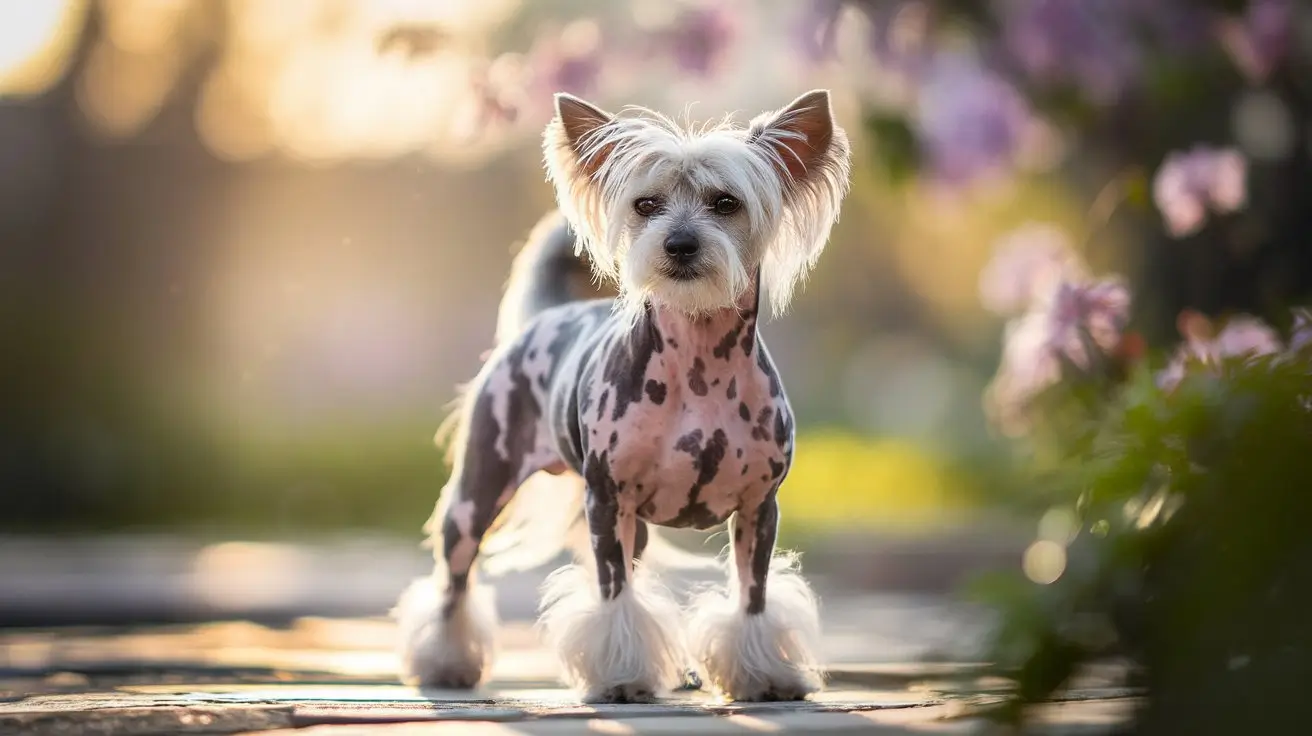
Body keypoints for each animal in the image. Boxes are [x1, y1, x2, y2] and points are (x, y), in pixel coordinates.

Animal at [388, 89, 855, 703]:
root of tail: (548, 314)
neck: (699, 367)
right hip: (475, 496)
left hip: (636, 528)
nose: (679, 243)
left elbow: (751, 599)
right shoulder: (607, 503)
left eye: (725, 202)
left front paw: (762, 675)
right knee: (453, 582)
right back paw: (445, 660)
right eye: (646, 204)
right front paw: (620, 675)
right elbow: (615, 599)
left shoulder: (759, 508)